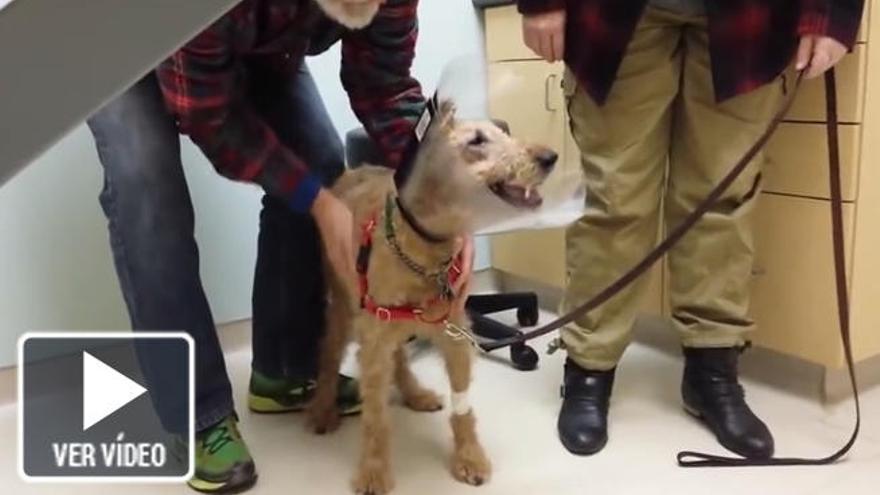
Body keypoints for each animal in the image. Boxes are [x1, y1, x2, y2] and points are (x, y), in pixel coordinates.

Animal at [310, 101, 556, 495]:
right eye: (476, 140)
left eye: (502, 132)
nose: (550, 157)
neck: (424, 242)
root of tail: (353, 171)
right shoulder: (374, 337)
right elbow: (375, 418)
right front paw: (373, 472)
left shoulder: (452, 335)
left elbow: (463, 409)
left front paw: (469, 457)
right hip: (346, 309)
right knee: (329, 353)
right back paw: (322, 409)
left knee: (399, 358)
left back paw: (414, 394)